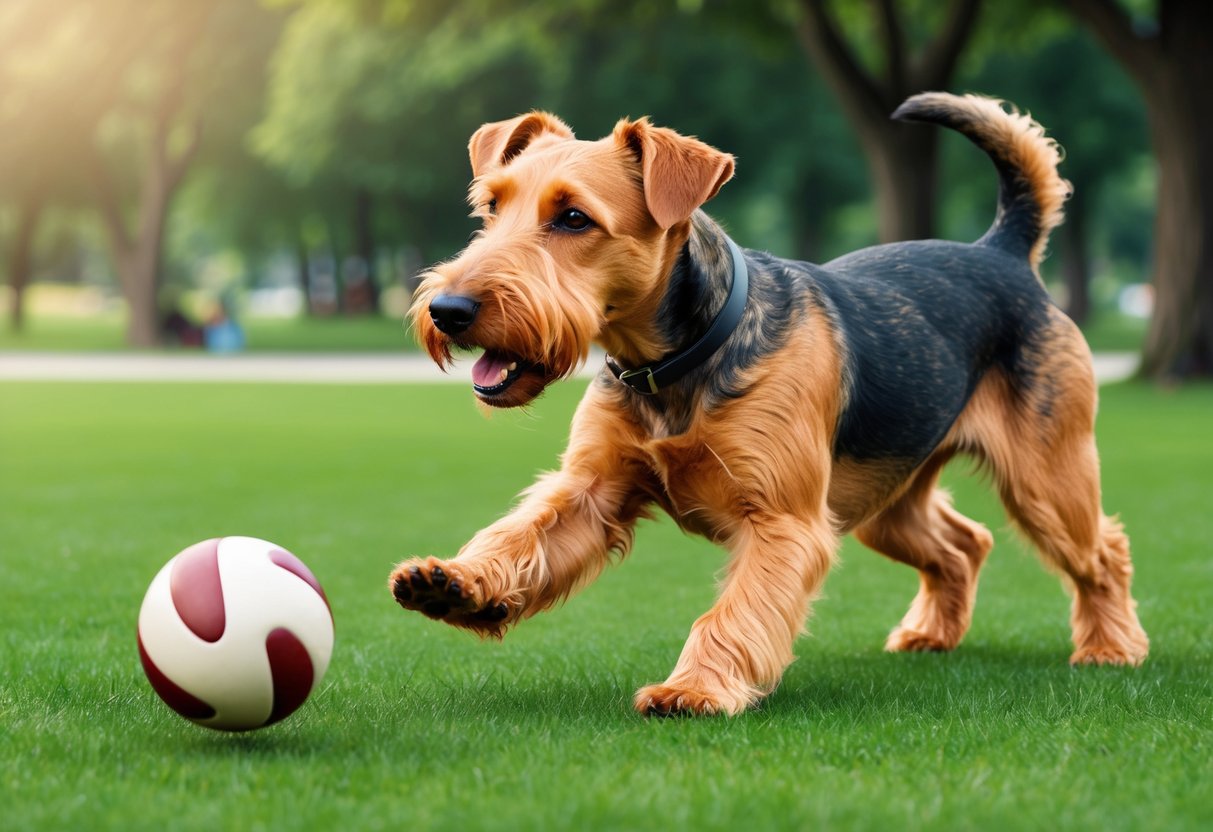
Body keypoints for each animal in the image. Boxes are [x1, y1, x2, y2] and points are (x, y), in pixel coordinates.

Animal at [388, 90, 1145, 717]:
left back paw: (1110, 648)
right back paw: (932, 633)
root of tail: (1003, 252)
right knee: (963, 544)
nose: (449, 310)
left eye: (573, 218)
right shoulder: (590, 491)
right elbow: (520, 537)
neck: (672, 362)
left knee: (1100, 552)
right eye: (490, 208)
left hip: (1045, 479)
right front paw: (455, 583)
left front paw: (693, 689)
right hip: (882, 498)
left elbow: (730, 616)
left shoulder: (782, 521)